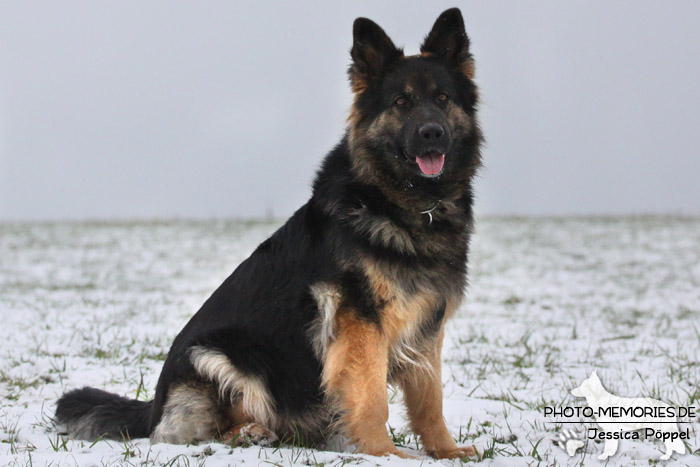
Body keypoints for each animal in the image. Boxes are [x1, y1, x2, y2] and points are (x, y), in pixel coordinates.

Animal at [54, 8, 484, 460]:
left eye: (442, 99)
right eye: (401, 102)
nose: (432, 132)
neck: (404, 204)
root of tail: (153, 405)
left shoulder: (428, 324)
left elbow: (430, 399)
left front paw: (447, 452)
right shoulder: (359, 323)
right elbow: (370, 397)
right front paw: (383, 454)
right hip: (225, 354)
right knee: (196, 429)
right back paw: (248, 432)